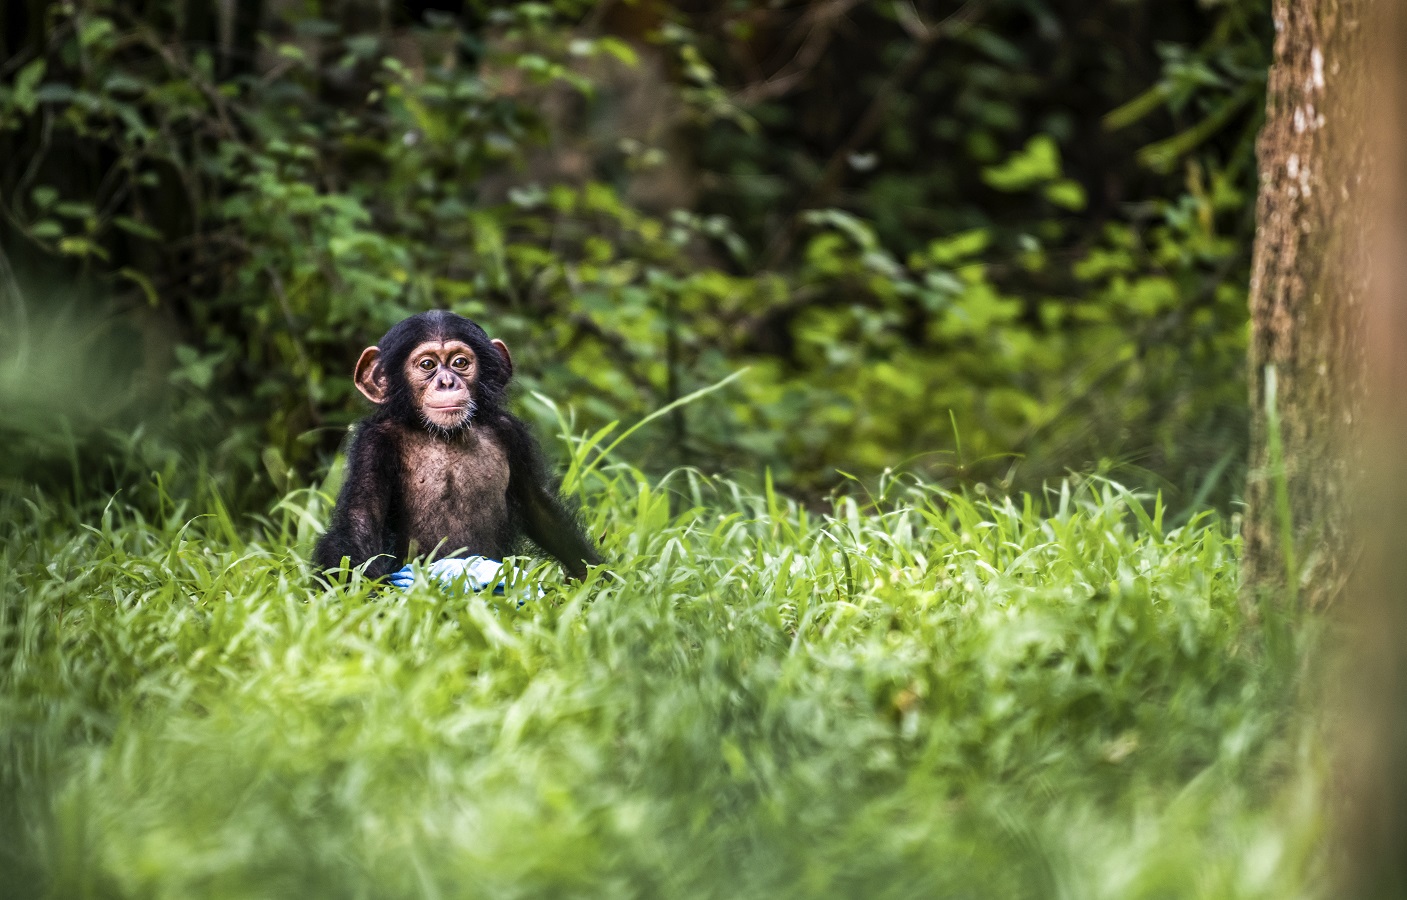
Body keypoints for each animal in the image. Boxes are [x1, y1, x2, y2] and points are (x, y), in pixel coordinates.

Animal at [313, 312, 599, 585]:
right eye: (427, 365)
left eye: (460, 363)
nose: (447, 382)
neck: (444, 434)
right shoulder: (373, 444)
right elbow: (360, 520)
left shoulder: (511, 432)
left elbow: (538, 506)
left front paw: (598, 578)